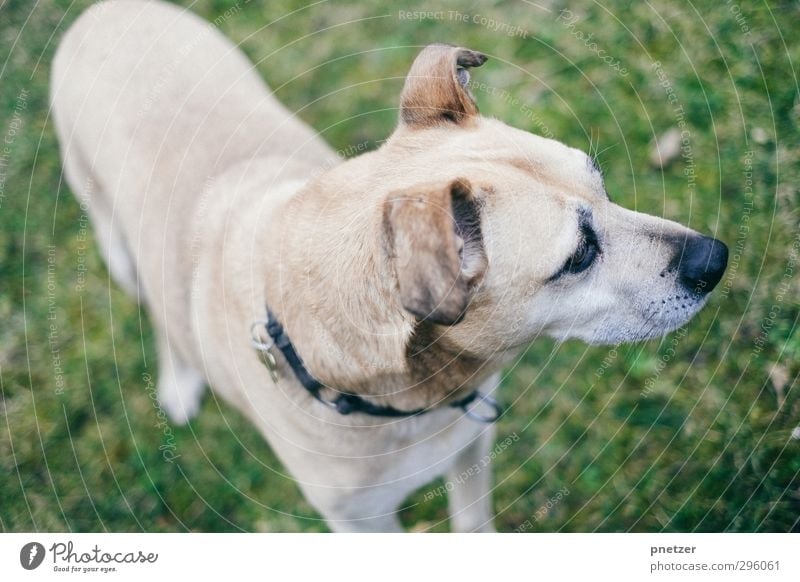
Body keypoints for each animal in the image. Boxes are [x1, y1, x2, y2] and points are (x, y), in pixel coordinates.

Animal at [48, 0, 724, 532]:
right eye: (578, 255)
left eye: (601, 181)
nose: (716, 260)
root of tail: (102, 12)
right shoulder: (363, 525)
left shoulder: (471, 449)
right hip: (115, 241)